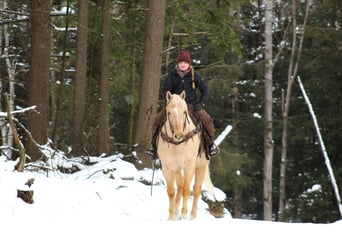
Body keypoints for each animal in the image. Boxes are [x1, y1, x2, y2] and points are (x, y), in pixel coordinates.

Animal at [157, 91, 214, 220]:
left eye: (184, 111)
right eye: (169, 113)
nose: (178, 135)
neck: (177, 144)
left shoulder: (189, 166)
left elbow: (187, 189)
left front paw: (183, 213)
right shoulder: (168, 167)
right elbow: (171, 191)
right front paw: (172, 216)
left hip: (201, 166)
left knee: (196, 189)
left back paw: (192, 215)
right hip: (178, 170)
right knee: (179, 187)